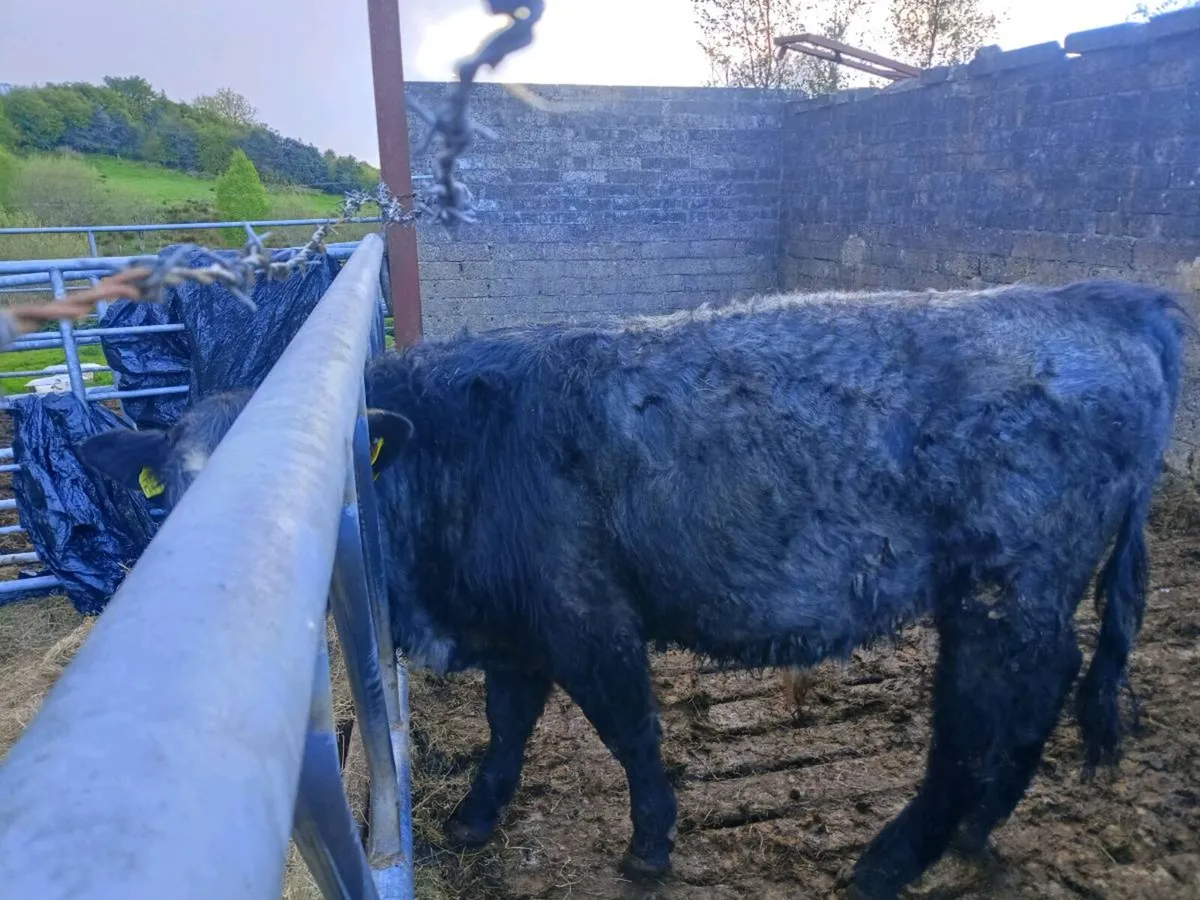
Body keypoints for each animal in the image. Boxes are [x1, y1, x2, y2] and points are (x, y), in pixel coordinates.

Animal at [76, 280, 1187, 900]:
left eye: (319, 494)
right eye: (169, 489)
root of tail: (1099, 297)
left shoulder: (586, 616)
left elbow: (629, 730)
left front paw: (651, 844)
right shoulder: (518, 633)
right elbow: (508, 727)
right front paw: (473, 818)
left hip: (1005, 584)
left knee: (977, 724)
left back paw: (891, 862)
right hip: (1026, 594)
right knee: (1043, 692)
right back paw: (976, 835)